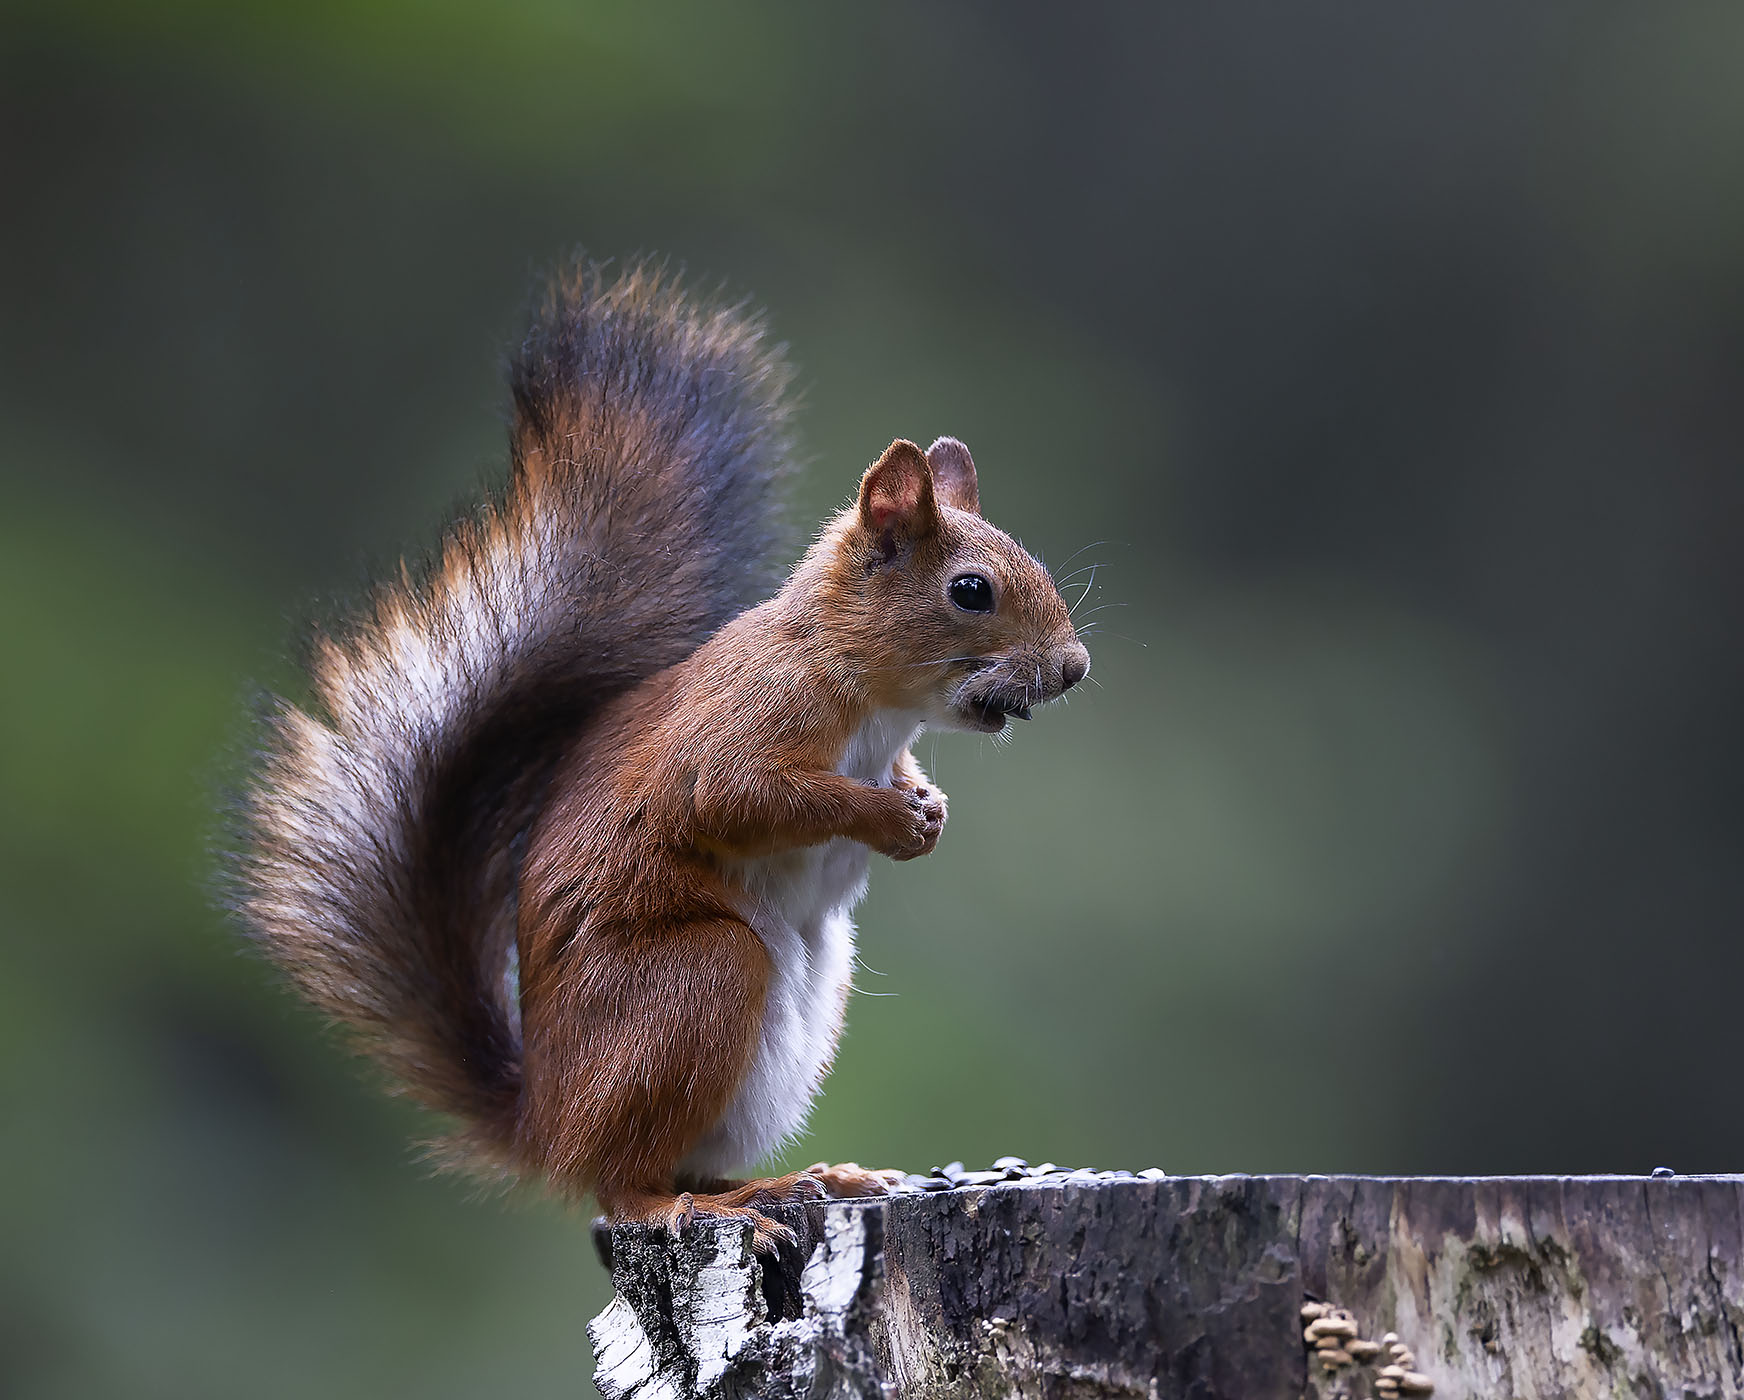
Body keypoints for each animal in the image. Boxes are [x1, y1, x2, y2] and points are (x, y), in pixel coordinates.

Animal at [235, 258, 1090, 1251]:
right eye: (971, 590)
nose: (1073, 668)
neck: (871, 701)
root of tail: (546, 1127)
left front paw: (928, 809)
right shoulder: (744, 722)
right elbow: (730, 797)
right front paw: (886, 815)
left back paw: (810, 1177)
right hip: (694, 983)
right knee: (625, 1185)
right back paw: (708, 1204)